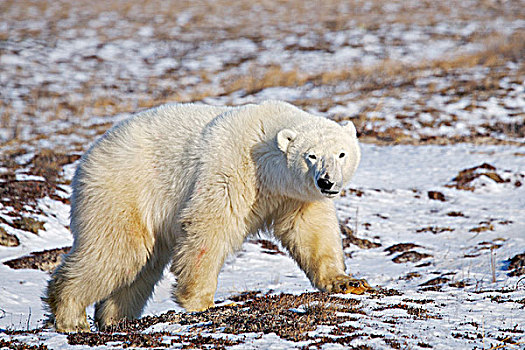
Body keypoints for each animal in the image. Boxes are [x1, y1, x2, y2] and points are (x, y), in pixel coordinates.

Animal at [46, 100, 368, 330]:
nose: (326, 182)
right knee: (118, 251)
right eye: (310, 155)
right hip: (123, 189)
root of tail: (88, 157)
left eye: (341, 154)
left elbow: (312, 232)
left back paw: (116, 319)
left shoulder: (295, 196)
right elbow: (208, 226)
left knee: (141, 267)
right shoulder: (232, 169)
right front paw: (206, 302)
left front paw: (347, 281)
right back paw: (71, 317)